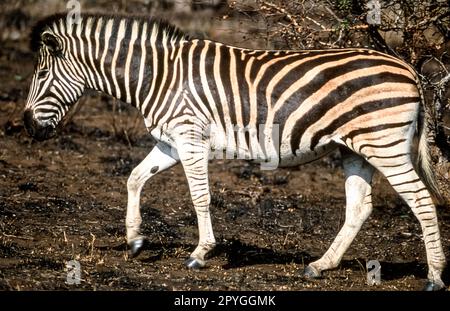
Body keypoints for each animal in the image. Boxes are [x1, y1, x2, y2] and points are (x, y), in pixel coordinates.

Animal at [23, 13, 446, 292]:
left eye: (41, 76)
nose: (26, 126)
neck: (157, 76)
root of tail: (407, 68)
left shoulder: (190, 136)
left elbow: (200, 197)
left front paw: (200, 252)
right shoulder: (170, 141)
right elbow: (134, 178)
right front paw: (135, 239)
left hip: (384, 143)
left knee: (422, 200)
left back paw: (435, 275)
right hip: (355, 148)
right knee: (360, 207)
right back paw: (320, 265)